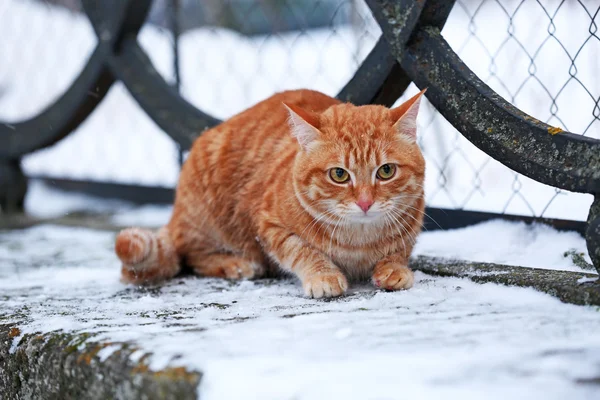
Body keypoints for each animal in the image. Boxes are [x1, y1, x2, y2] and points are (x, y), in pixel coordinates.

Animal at [115, 89, 426, 298]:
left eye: (386, 171)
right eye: (339, 174)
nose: (365, 202)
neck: (359, 241)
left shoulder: (412, 224)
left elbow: (399, 250)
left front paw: (393, 268)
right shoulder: (270, 227)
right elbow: (303, 251)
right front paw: (323, 275)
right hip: (208, 220)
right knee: (190, 254)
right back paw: (235, 263)